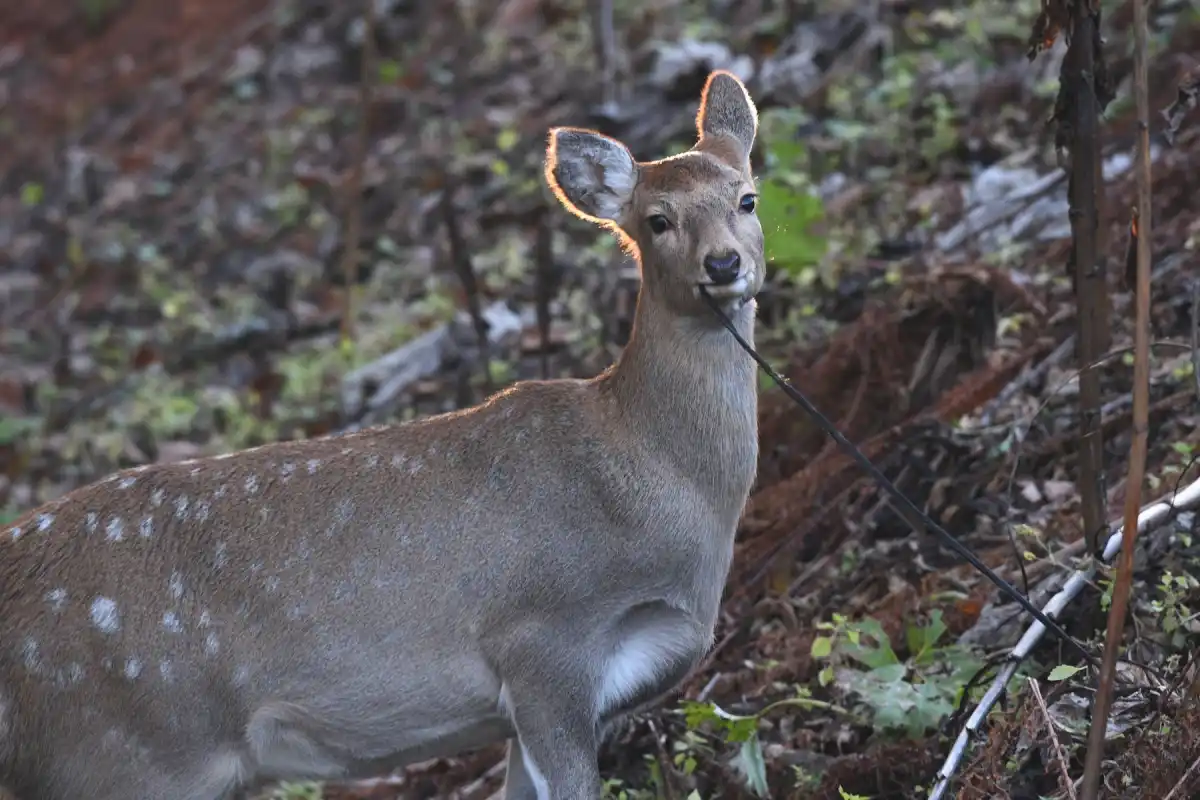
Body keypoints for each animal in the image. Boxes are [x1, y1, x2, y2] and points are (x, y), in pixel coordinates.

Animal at [0, 69, 764, 800]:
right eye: (658, 220)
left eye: (747, 199)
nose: (724, 264)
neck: (650, 473)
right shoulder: (542, 641)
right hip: (114, 753)